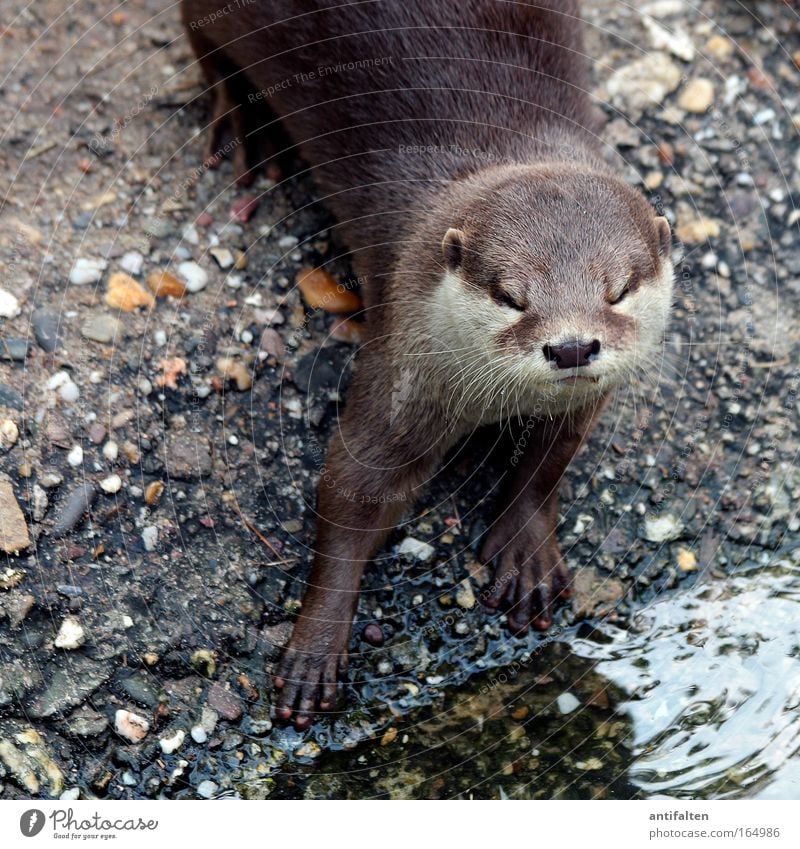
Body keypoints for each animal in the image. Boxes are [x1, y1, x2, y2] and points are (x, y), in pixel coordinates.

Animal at [183, 1, 676, 728]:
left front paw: (527, 545)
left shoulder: (587, 398)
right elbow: (354, 485)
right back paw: (240, 126)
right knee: (202, 41)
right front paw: (316, 644)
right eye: (510, 295)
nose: (571, 346)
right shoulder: (403, 369)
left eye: (616, 291)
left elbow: (551, 458)